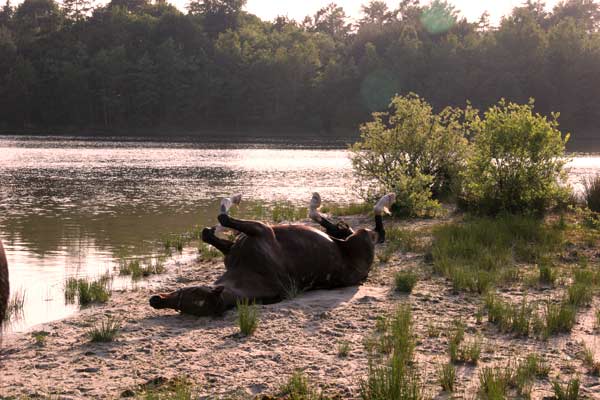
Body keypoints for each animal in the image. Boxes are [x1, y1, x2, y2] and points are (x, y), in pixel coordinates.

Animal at [149, 192, 394, 318]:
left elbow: (220, 222)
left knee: (376, 227)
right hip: (351, 237)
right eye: (181, 307)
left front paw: (231, 201)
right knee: (342, 228)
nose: (155, 300)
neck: (249, 272)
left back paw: (384, 200)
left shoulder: (260, 230)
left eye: (192, 293)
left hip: (361, 237)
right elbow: (213, 229)